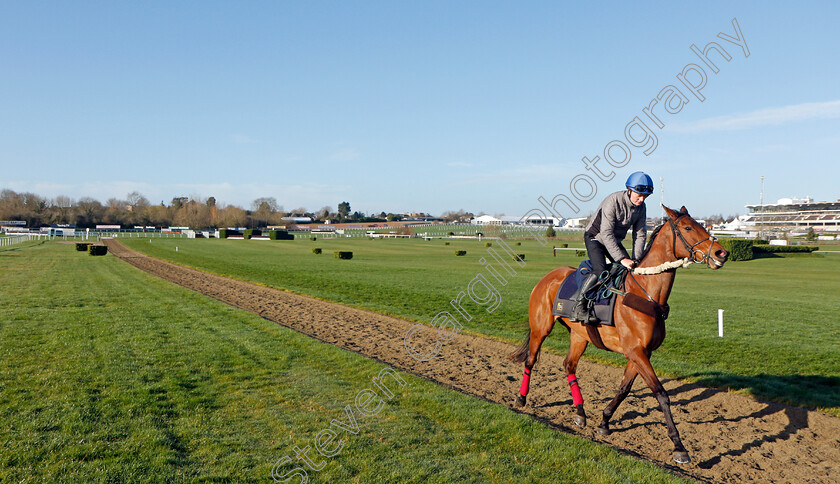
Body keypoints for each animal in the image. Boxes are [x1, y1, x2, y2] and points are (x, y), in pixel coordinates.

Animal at [508, 203, 732, 462]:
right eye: (688, 227)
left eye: (700, 224)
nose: (722, 253)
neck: (646, 294)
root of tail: (548, 277)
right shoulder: (636, 351)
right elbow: (661, 394)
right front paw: (679, 446)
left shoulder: (641, 352)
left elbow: (624, 388)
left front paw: (604, 421)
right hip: (541, 328)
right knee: (530, 360)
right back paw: (521, 398)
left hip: (580, 336)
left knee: (569, 365)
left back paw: (580, 411)